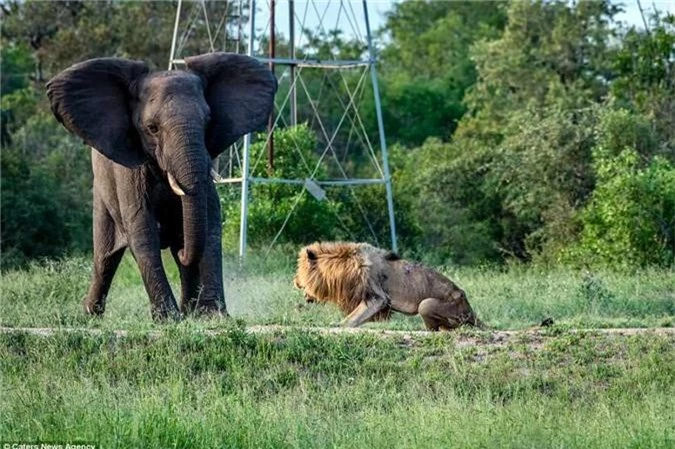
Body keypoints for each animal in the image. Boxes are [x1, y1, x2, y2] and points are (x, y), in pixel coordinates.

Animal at [46, 51, 278, 318]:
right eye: (152, 128)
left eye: (208, 121)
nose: (182, 251)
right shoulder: (129, 172)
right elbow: (142, 230)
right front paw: (168, 319)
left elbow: (210, 225)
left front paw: (213, 315)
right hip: (102, 195)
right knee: (105, 258)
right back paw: (90, 314)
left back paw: (189, 311)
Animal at [294, 242, 478, 328]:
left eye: (299, 271)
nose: (295, 282)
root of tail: (470, 308)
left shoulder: (377, 298)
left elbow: (352, 318)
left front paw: (338, 325)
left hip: (431, 305)